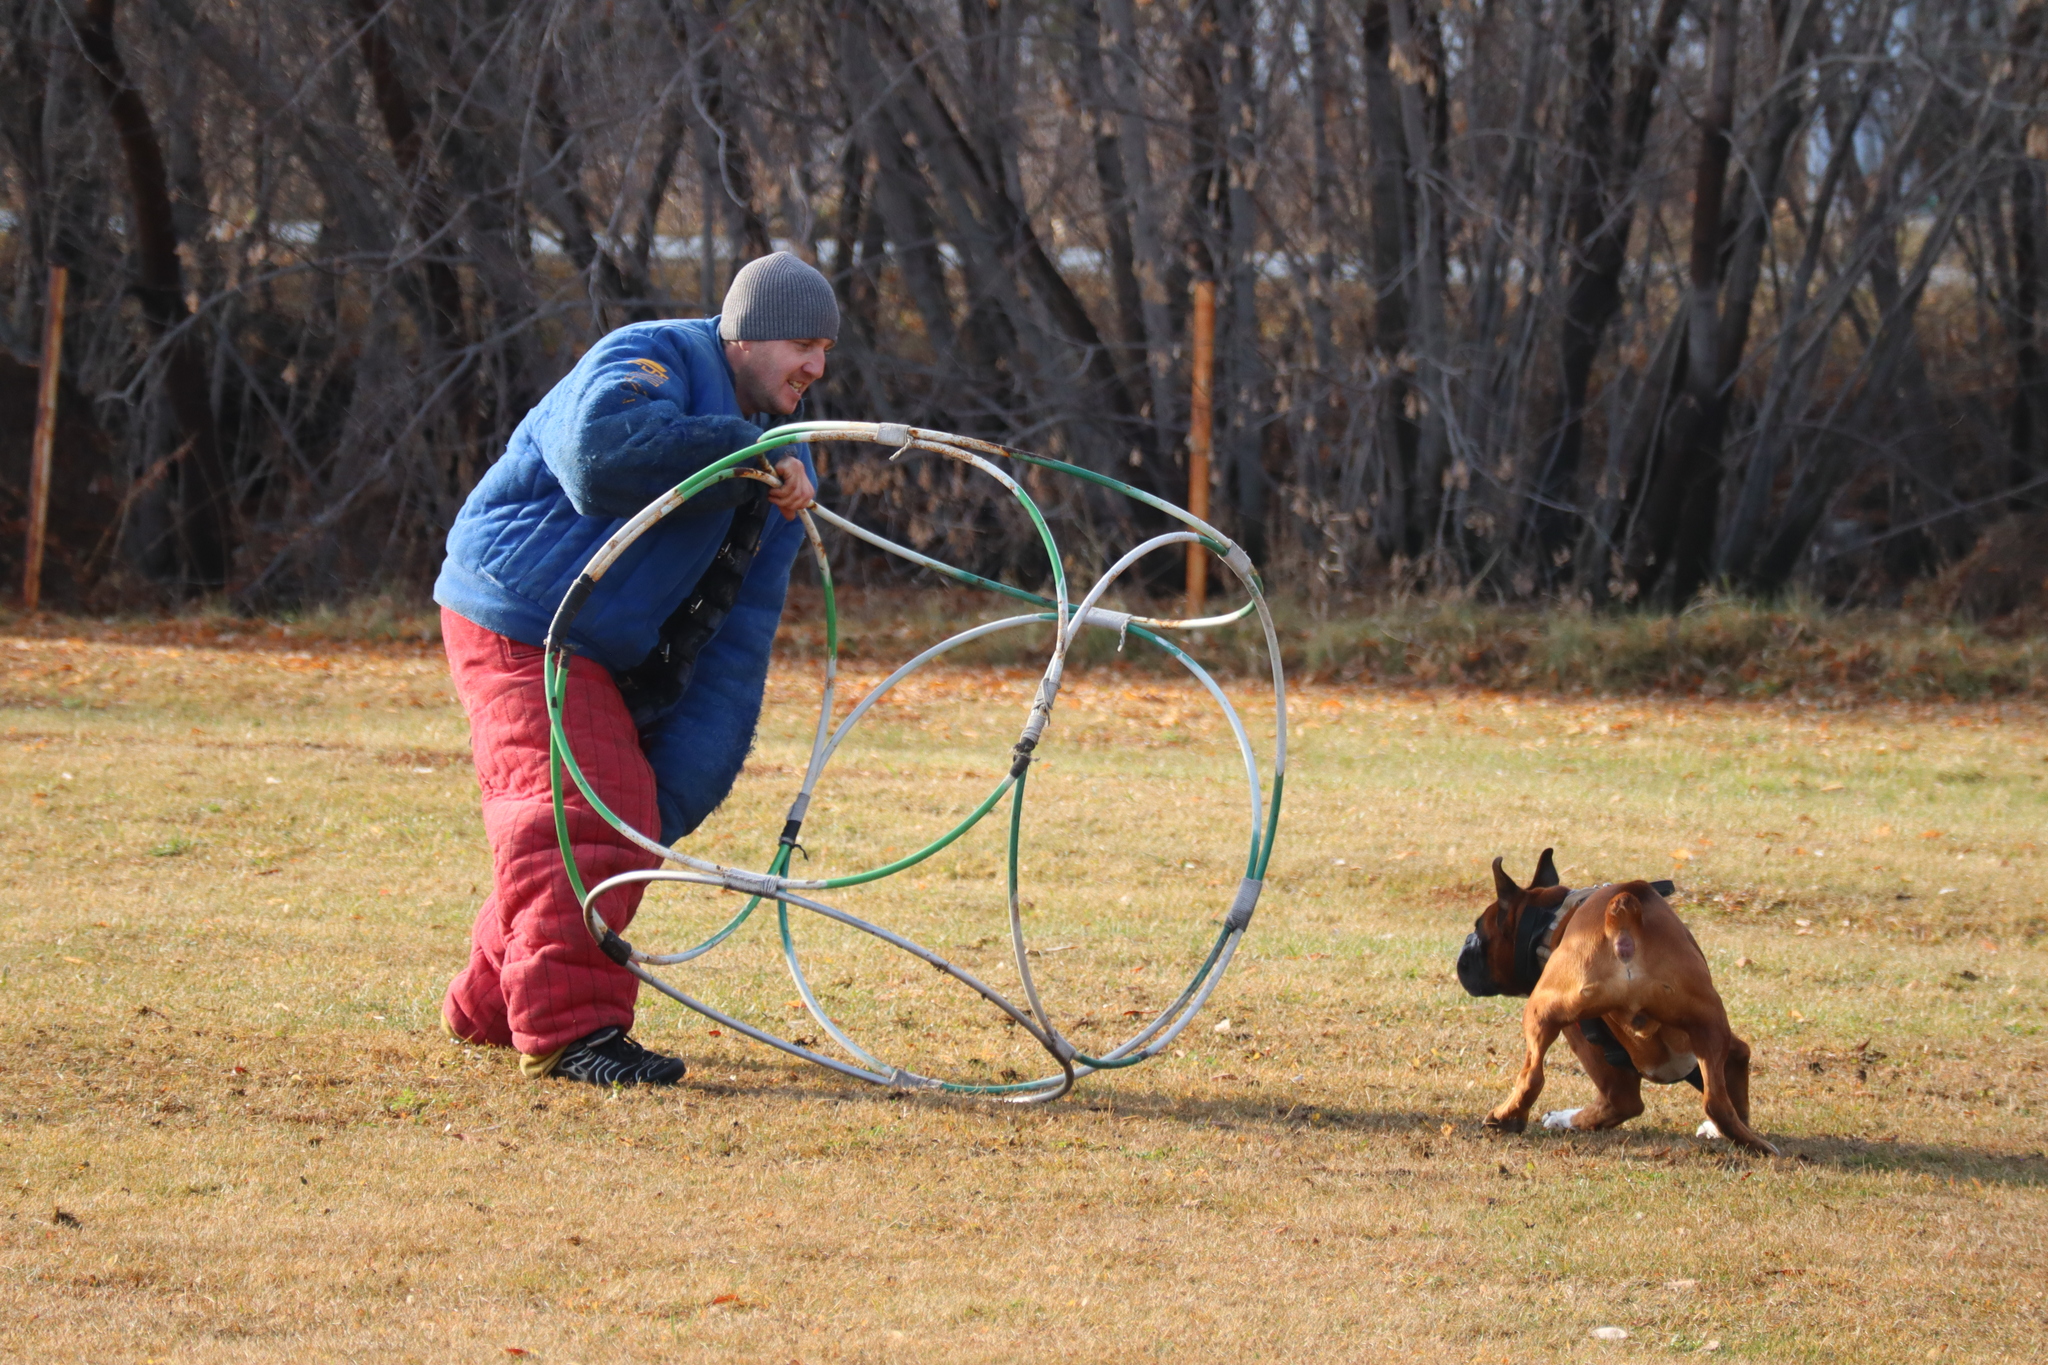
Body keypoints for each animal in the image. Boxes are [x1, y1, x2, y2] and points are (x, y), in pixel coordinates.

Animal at [1458, 855, 1777, 1154]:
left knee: (1544, 1080)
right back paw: (1756, 1145)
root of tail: (1622, 914)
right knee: (1715, 1102)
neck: (1552, 921)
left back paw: (1512, 1118)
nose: (1464, 946)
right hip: (1708, 1020)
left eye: (1479, 930)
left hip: (1551, 1018)